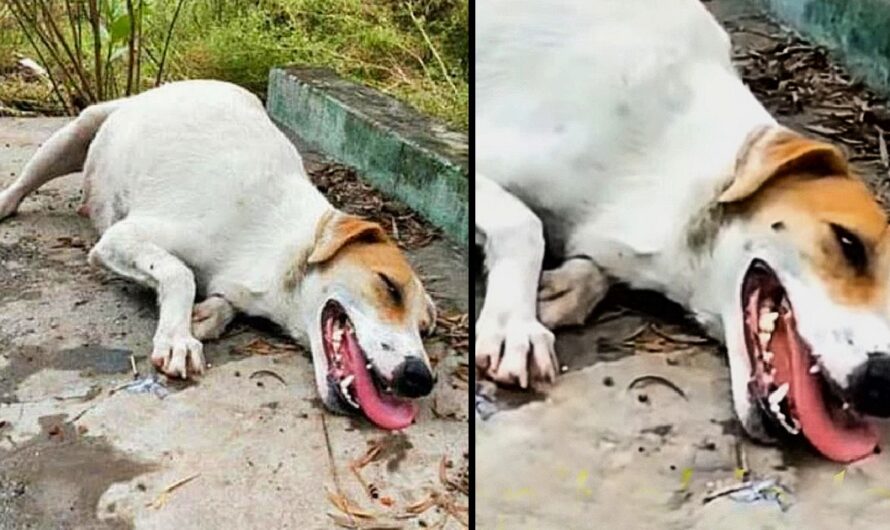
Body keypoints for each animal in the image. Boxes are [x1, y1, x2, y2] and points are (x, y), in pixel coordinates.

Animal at [0, 81, 438, 428]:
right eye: (389, 287)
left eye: (424, 328)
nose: (421, 379)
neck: (284, 244)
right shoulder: (119, 237)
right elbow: (179, 273)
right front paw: (177, 336)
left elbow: (220, 300)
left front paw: (207, 314)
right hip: (75, 132)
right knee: (24, 182)